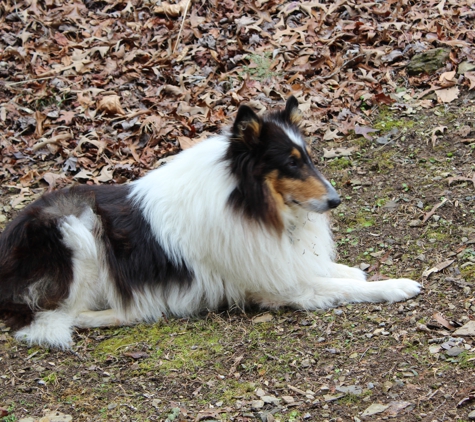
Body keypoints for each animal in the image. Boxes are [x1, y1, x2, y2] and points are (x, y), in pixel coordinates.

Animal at [0, 97, 422, 348]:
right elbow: (343, 286)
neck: (247, 202)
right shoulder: (280, 288)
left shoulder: (279, 261)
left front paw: (355, 270)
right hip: (76, 229)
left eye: (308, 158)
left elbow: (334, 270)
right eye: (290, 163)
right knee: (62, 316)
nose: (335, 200)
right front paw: (394, 286)